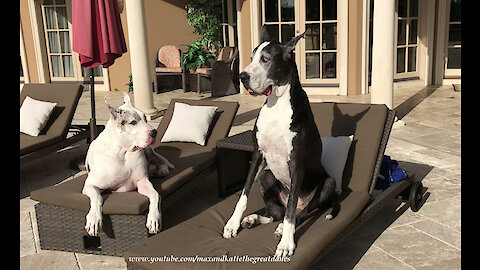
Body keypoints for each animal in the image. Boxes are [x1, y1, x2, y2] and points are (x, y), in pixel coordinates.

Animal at [82, 93, 174, 236]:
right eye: (133, 122)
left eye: (145, 118)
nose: (154, 132)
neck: (122, 151)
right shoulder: (90, 185)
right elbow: (97, 198)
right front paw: (94, 219)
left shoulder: (142, 181)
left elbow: (156, 195)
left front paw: (154, 218)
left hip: (148, 151)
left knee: (157, 159)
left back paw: (161, 170)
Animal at [223, 26, 336, 258]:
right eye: (251, 58)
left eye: (266, 59)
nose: (242, 76)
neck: (277, 102)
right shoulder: (258, 155)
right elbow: (243, 194)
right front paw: (233, 223)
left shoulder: (296, 163)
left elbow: (291, 209)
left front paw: (286, 244)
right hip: (266, 177)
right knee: (277, 212)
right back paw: (254, 219)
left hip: (328, 184)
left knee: (300, 211)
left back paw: (284, 228)